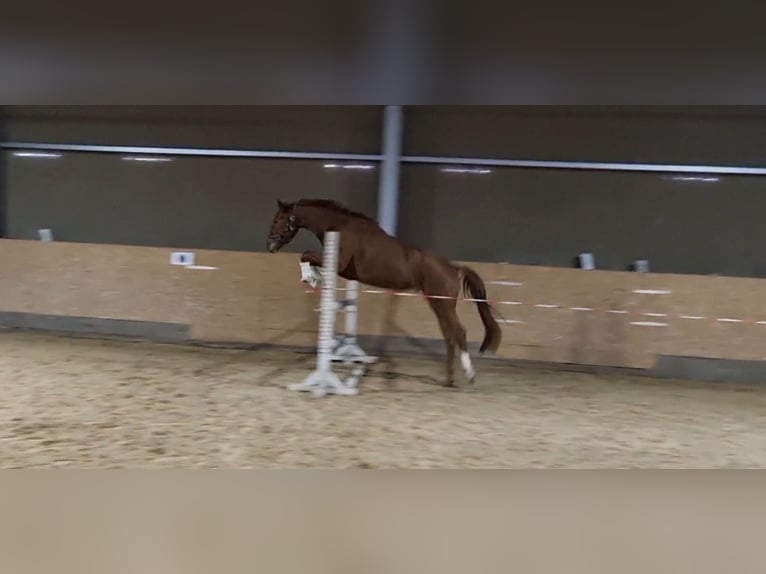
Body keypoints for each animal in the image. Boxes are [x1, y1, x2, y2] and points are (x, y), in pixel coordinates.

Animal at [266, 198, 502, 387]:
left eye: (278, 219)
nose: (270, 246)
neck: (339, 226)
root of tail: (454, 268)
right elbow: (309, 257)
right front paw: (315, 278)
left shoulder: (339, 264)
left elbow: (306, 255)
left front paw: (311, 278)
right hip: (437, 303)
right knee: (449, 336)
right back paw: (449, 379)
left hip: (442, 304)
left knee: (458, 333)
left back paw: (469, 375)